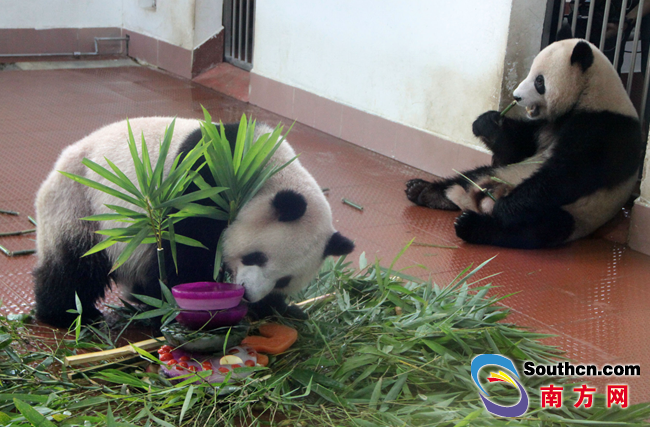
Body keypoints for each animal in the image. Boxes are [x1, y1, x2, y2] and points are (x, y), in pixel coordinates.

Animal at [33, 118, 352, 330]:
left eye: (285, 280)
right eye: (256, 257)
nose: (249, 293)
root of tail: (61, 162)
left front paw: (279, 309)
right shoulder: (200, 178)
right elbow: (186, 253)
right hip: (81, 201)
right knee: (75, 264)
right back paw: (67, 313)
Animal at [402, 39, 640, 251]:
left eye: (539, 81)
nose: (516, 97)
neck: (591, 92)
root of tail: (481, 200)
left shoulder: (604, 129)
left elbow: (566, 175)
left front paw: (506, 207)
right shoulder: (545, 125)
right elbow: (518, 148)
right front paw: (488, 123)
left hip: (573, 216)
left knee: (538, 228)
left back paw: (473, 224)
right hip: (498, 173)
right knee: (468, 177)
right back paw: (424, 191)